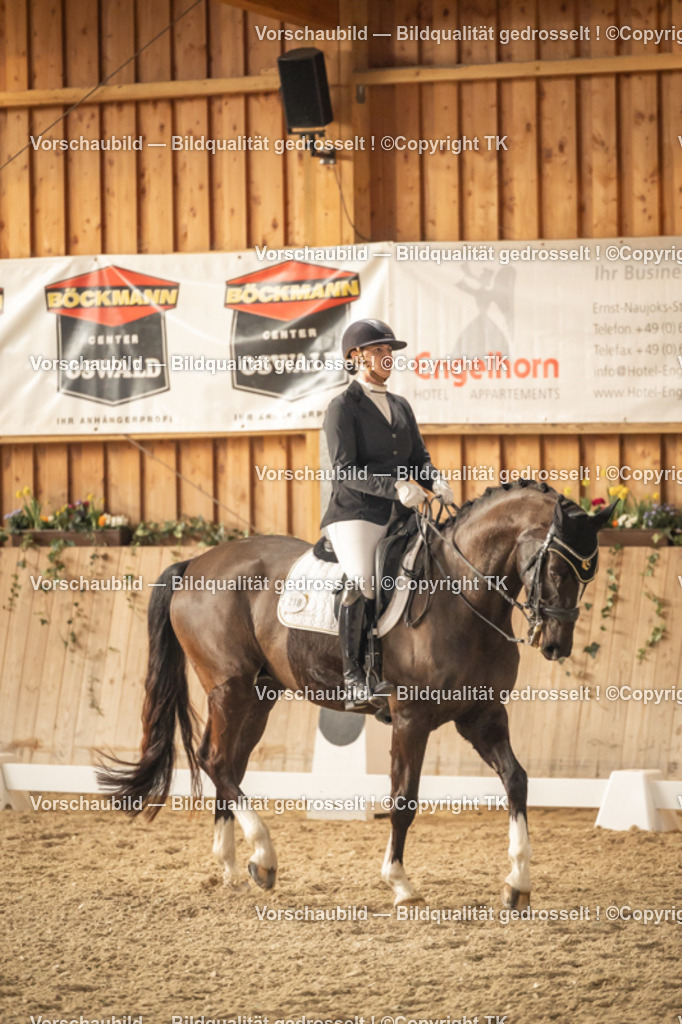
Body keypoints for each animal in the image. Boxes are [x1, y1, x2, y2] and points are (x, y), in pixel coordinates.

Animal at [97, 480, 615, 907]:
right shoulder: (411, 718)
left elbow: (517, 781)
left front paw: (518, 882)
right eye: (558, 567)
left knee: (228, 763)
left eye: (587, 574)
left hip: (260, 695)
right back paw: (264, 855)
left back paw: (233, 866)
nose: (556, 645)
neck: (463, 597)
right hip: (230, 688)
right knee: (217, 761)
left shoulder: (482, 715)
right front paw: (400, 883)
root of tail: (196, 564)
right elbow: (403, 799)